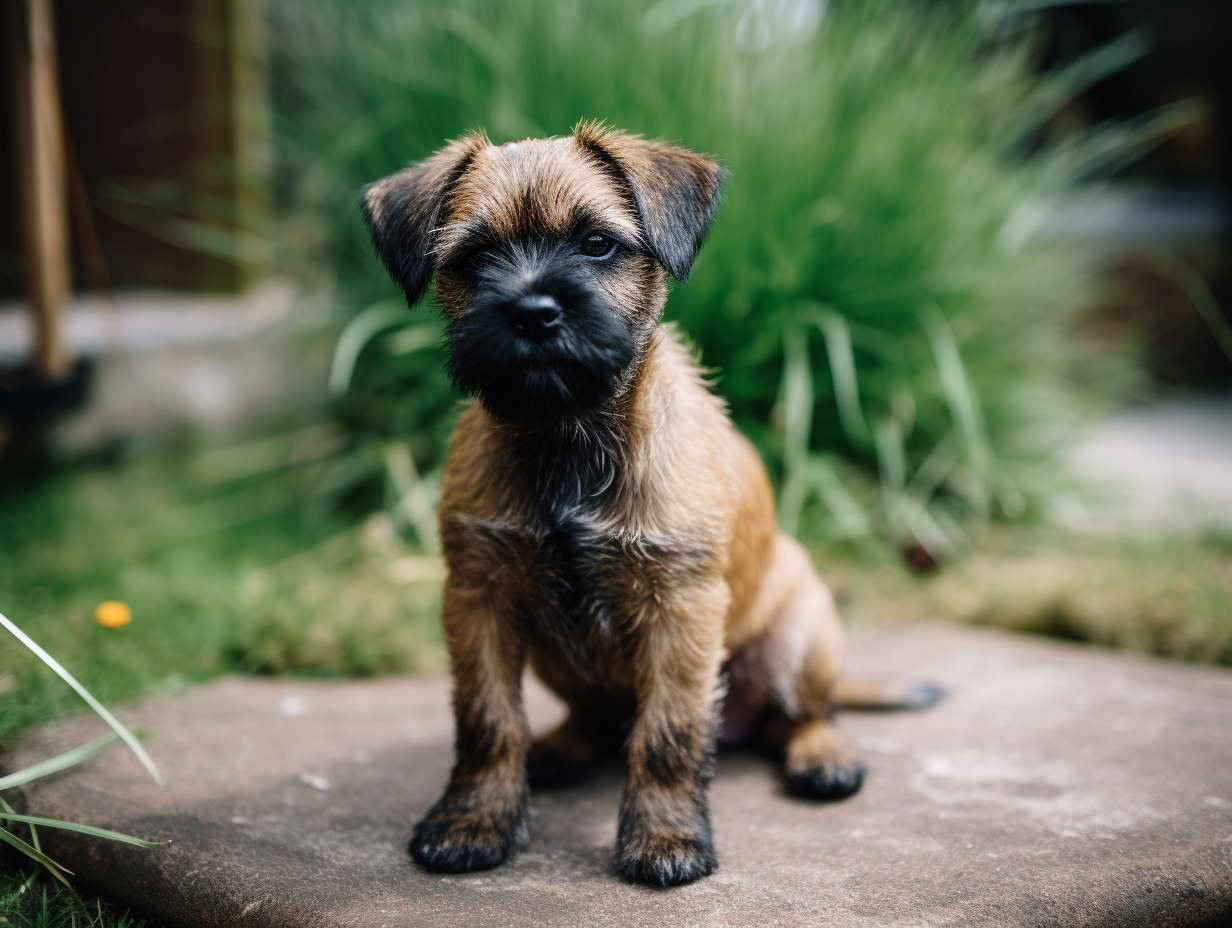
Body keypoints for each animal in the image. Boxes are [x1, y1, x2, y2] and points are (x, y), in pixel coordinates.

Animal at [359, 119, 936, 887]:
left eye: (598, 243)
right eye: (476, 256)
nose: (533, 312)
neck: (568, 435)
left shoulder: (680, 609)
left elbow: (667, 734)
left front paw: (664, 838)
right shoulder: (479, 596)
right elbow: (489, 721)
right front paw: (472, 822)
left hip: (800, 637)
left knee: (805, 716)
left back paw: (823, 758)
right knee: (596, 720)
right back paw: (559, 750)